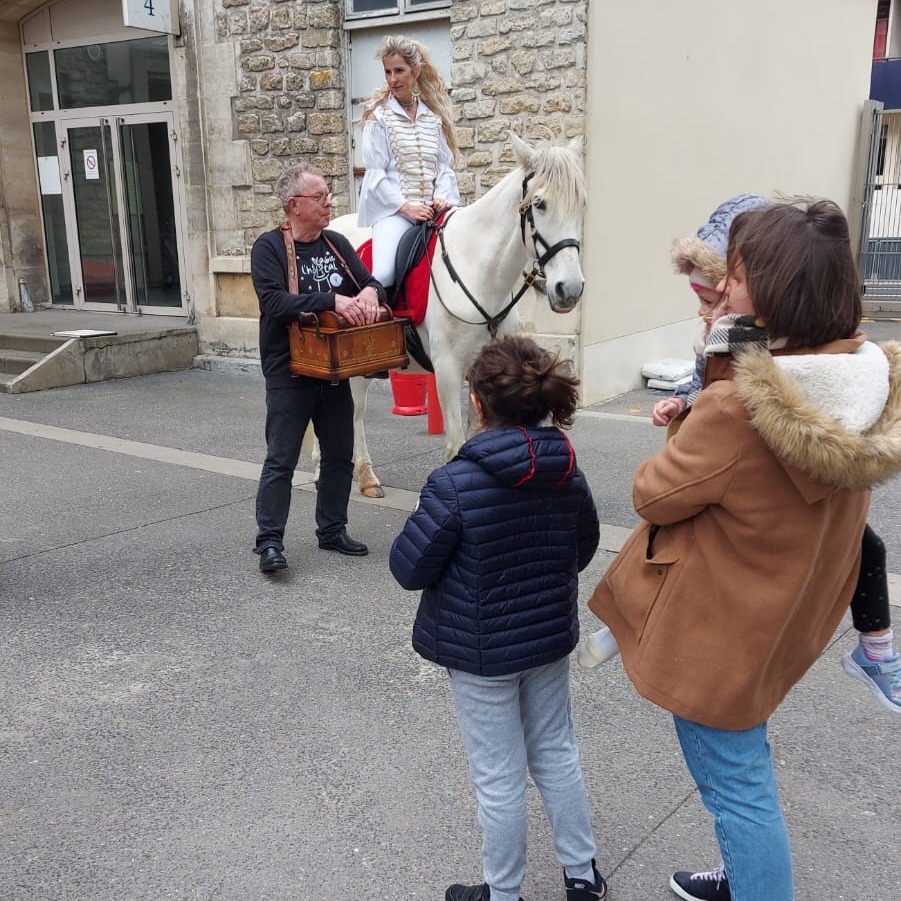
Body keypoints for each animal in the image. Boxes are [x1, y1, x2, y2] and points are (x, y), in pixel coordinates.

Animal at [320, 134, 588, 500]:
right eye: (540, 204)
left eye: (581, 204)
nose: (569, 289)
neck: (477, 267)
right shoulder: (447, 371)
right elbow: (456, 443)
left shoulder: (482, 372)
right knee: (355, 415)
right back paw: (359, 475)